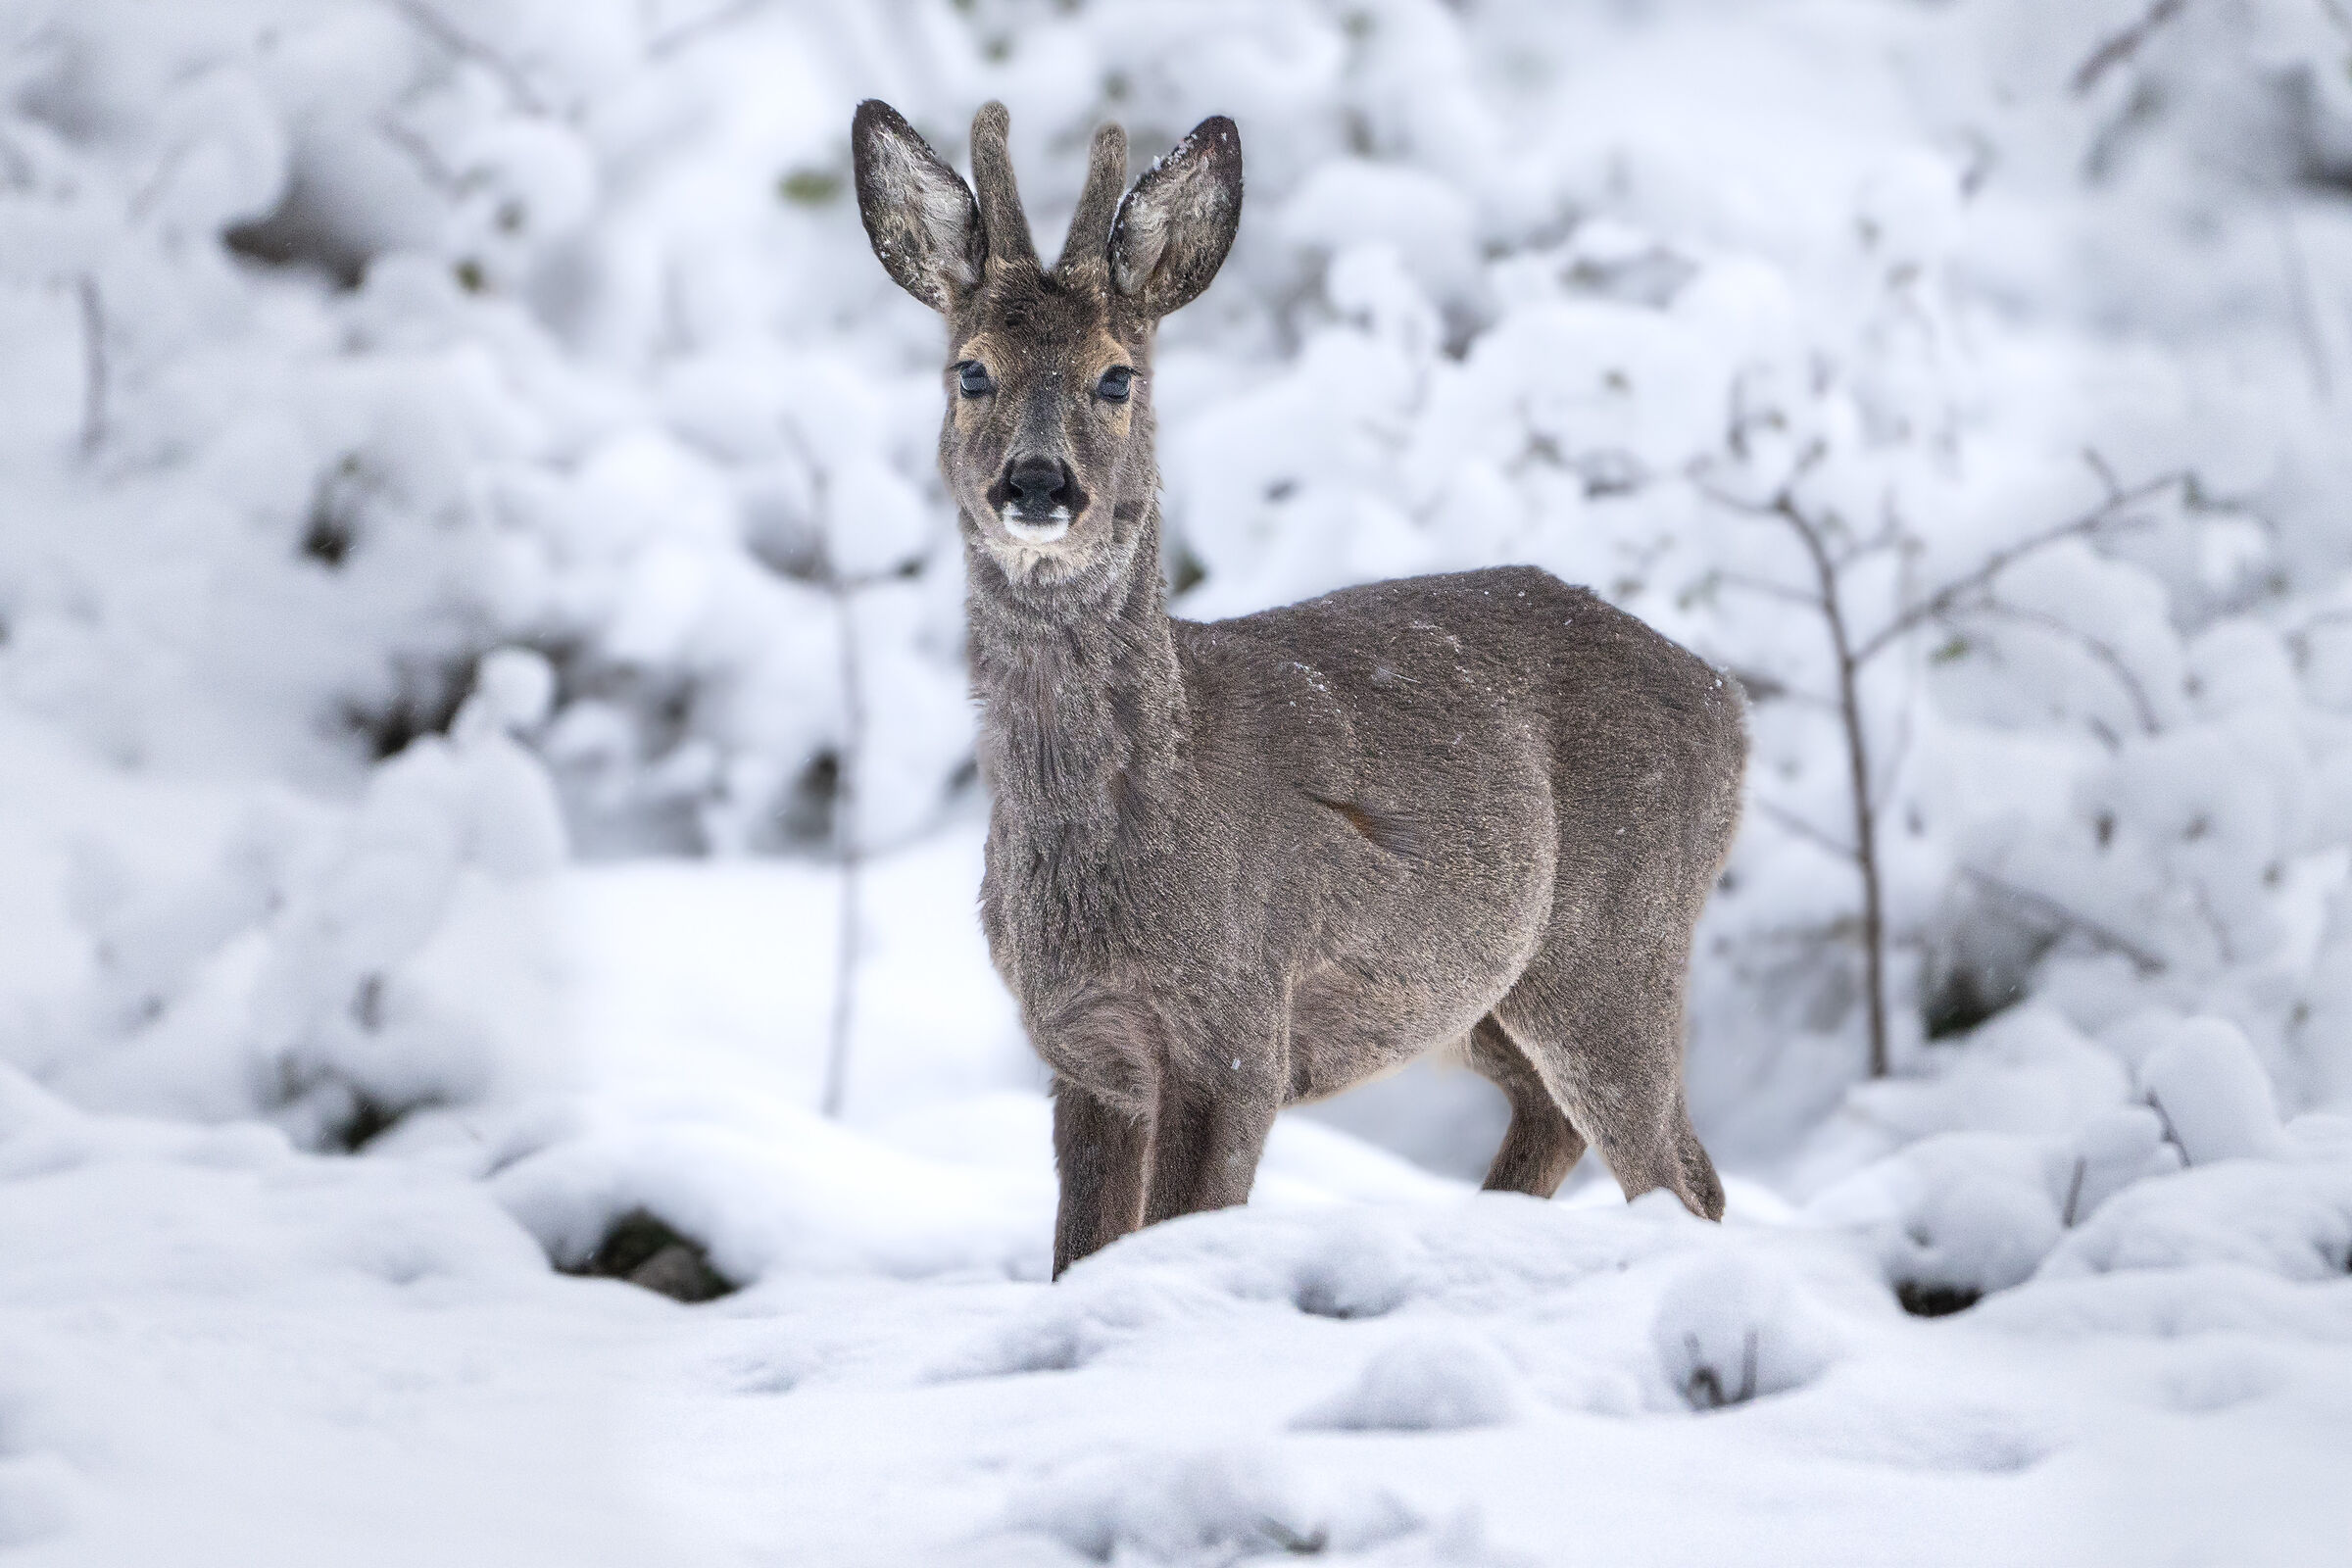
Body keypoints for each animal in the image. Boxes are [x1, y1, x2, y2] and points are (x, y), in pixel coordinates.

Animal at [851, 100, 1747, 1279]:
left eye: (1116, 375)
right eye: (970, 370)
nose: (1038, 483)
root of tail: (1731, 707)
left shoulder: (1238, 1028)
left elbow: (1180, 1233)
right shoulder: (1085, 1051)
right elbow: (1080, 1256)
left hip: (1615, 944)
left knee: (1685, 1177)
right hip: (1486, 994)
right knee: (1571, 1131)